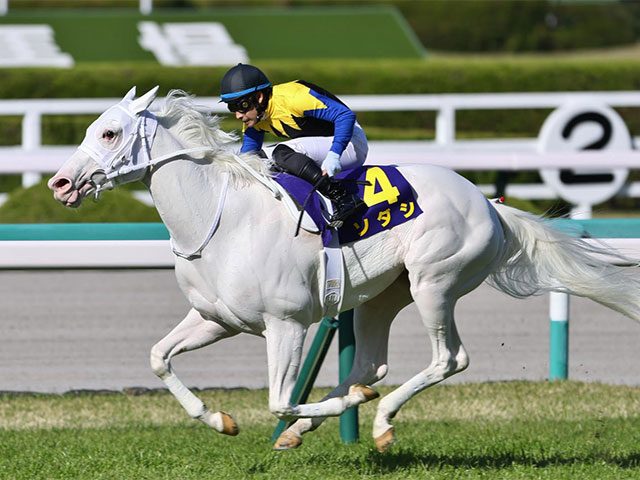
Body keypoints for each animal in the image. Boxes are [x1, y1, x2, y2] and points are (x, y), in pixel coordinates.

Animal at [47, 88, 640, 452]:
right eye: (92, 128)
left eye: (108, 133)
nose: (60, 182)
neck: (221, 218)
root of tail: (489, 204)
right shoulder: (217, 319)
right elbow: (158, 359)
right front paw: (220, 419)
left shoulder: (286, 323)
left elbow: (279, 399)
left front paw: (311, 416)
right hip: (385, 295)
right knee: (372, 365)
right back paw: (335, 413)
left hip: (435, 282)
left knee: (448, 358)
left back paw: (378, 420)